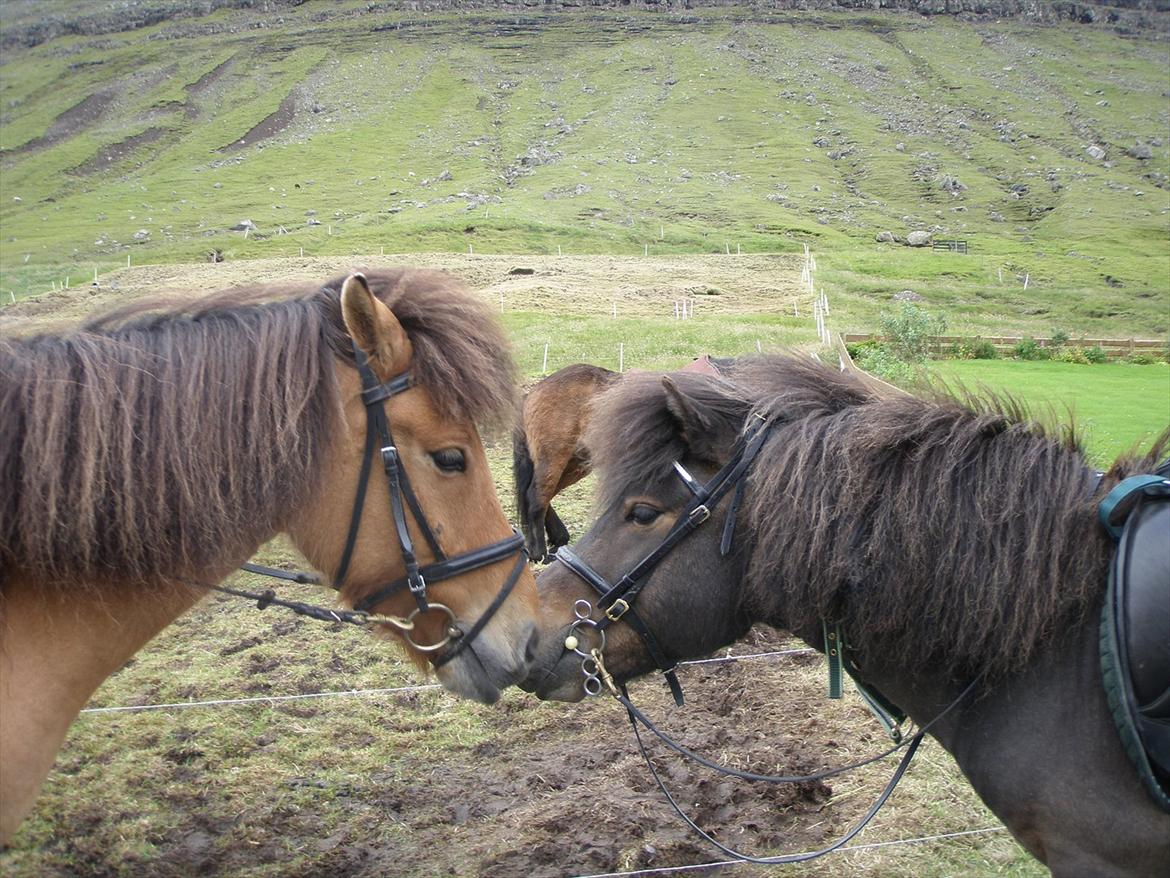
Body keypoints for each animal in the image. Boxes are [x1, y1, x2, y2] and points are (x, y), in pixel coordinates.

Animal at [514, 358, 730, 564]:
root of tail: (532, 393)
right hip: (554, 458)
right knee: (536, 498)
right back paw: (539, 552)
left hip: (575, 463)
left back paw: (558, 539)